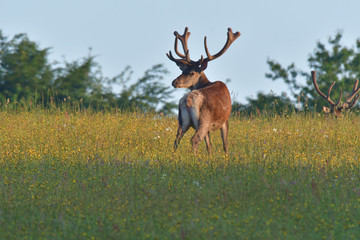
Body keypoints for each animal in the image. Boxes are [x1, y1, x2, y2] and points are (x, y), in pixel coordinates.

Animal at [167, 27, 240, 155]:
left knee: (177, 139)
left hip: (182, 121)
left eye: (191, 72)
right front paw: (226, 158)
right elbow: (225, 144)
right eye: (183, 71)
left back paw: (174, 156)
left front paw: (210, 157)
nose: (174, 82)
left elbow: (209, 146)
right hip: (203, 121)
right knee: (194, 139)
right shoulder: (225, 119)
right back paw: (194, 158)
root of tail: (187, 101)